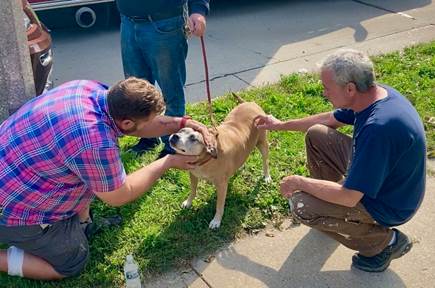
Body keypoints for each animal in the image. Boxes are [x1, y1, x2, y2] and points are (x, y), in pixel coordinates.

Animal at [169, 97, 270, 230]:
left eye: (193, 138)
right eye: (181, 130)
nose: (175, 136)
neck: (206, 158)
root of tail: (249, 103)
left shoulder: (221, 186)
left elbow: (219, 205)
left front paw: (216, 220)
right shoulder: (193, 174)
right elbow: (193, 190)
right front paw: (189, 202)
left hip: (262, 143)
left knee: (265, 161)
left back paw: (267, 176)